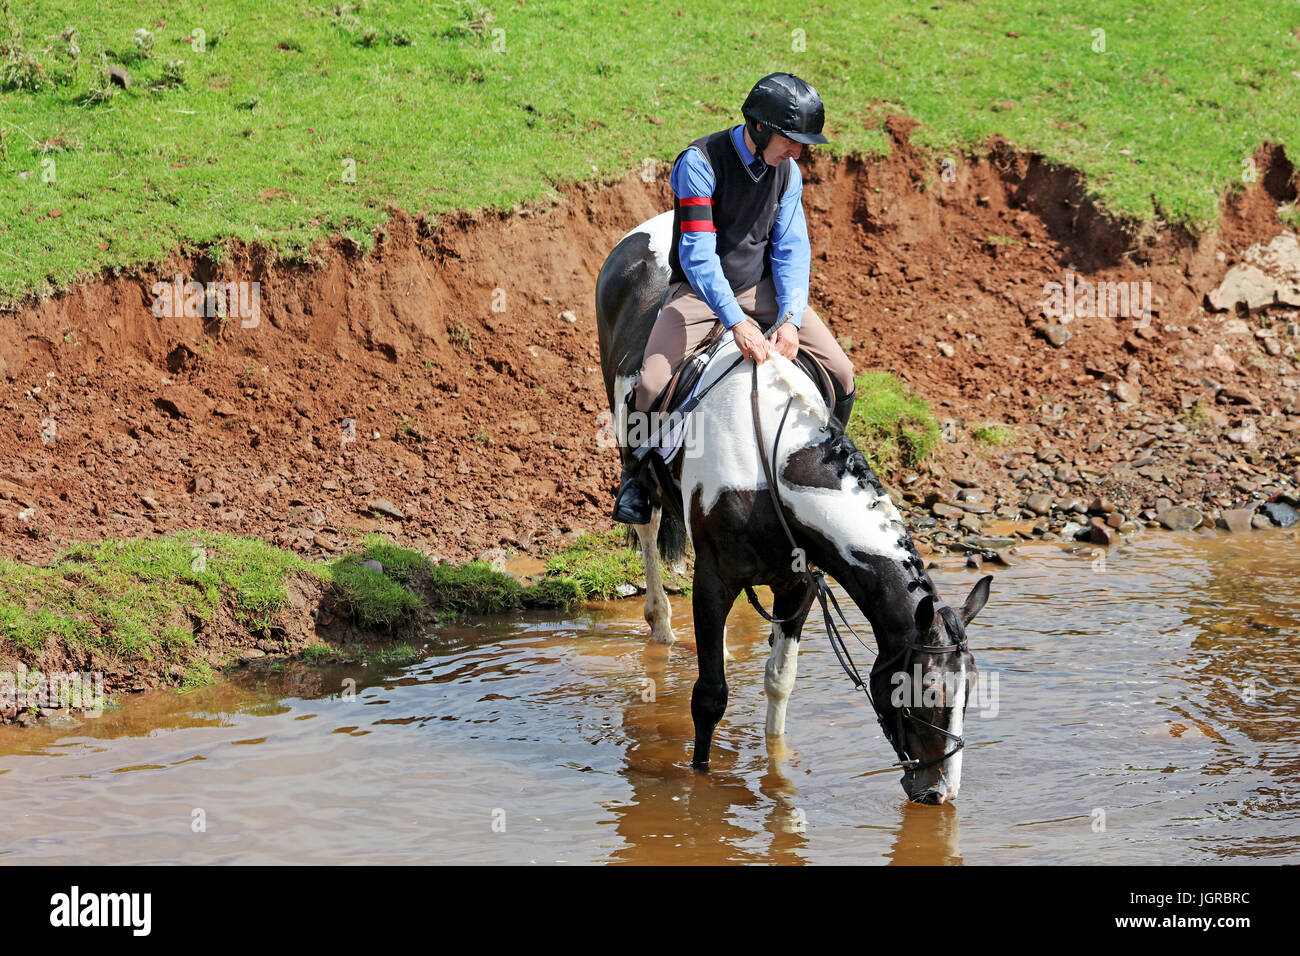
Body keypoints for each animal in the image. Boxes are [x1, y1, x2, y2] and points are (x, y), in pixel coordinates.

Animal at [595, 211, 991, 804]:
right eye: (921, 695)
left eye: (968, 694)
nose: (939, 794)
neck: (769, 473)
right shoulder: (714, 578)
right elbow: (708, 696)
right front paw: (701, 785)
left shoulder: (799, 586)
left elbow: (779, 682)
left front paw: (777, 772)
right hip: (631, 441)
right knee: (648, 526)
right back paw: (660, 622)